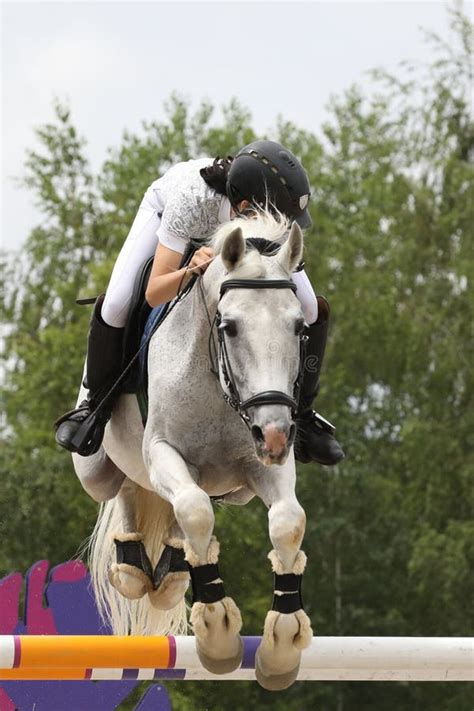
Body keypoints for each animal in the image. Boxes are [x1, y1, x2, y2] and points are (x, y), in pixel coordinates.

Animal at [73, 213, 312, 688]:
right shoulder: (162, 449)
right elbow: (197, 510)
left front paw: (281, 647)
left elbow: (287, 523)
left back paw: (169, 573)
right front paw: (218, 634)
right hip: (96, 471)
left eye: (299, 328)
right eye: (230, 326)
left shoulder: (258, 465)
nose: (275, 437)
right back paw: (134, 570)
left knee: (169, 505)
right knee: (129, 485)